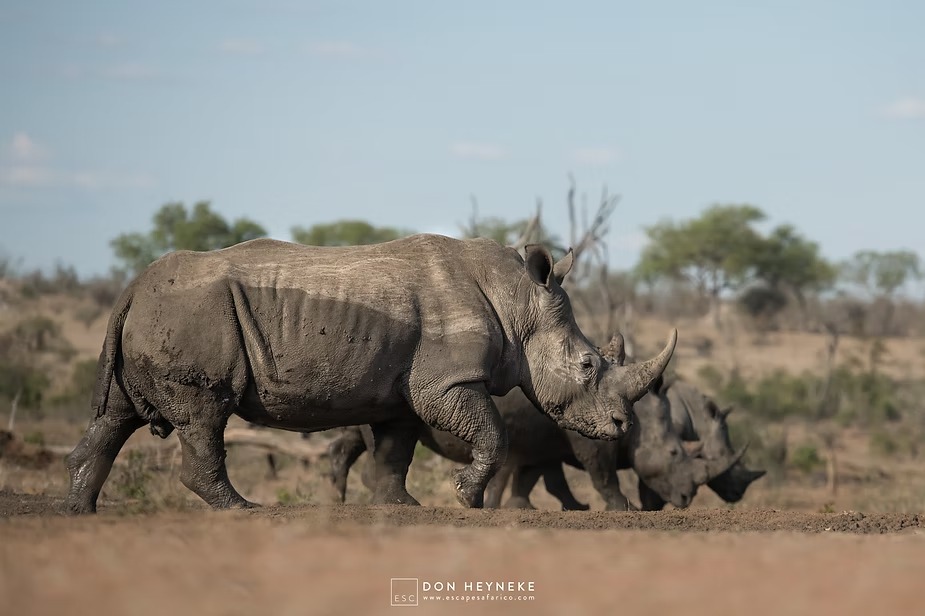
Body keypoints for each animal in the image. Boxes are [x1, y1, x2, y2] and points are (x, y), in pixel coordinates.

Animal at [66, 234, 678, 513]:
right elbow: (493, 431)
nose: (622, 426)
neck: (518, 299)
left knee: (115, 417)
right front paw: (466, 498)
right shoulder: (446, 381)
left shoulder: (403, 392)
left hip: (159, 315)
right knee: (205, 416)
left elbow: (393, 451)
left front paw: (400, 507)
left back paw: (79, 511)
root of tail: (132, 288)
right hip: (193, 315)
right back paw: (241, 508)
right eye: (588, 365)